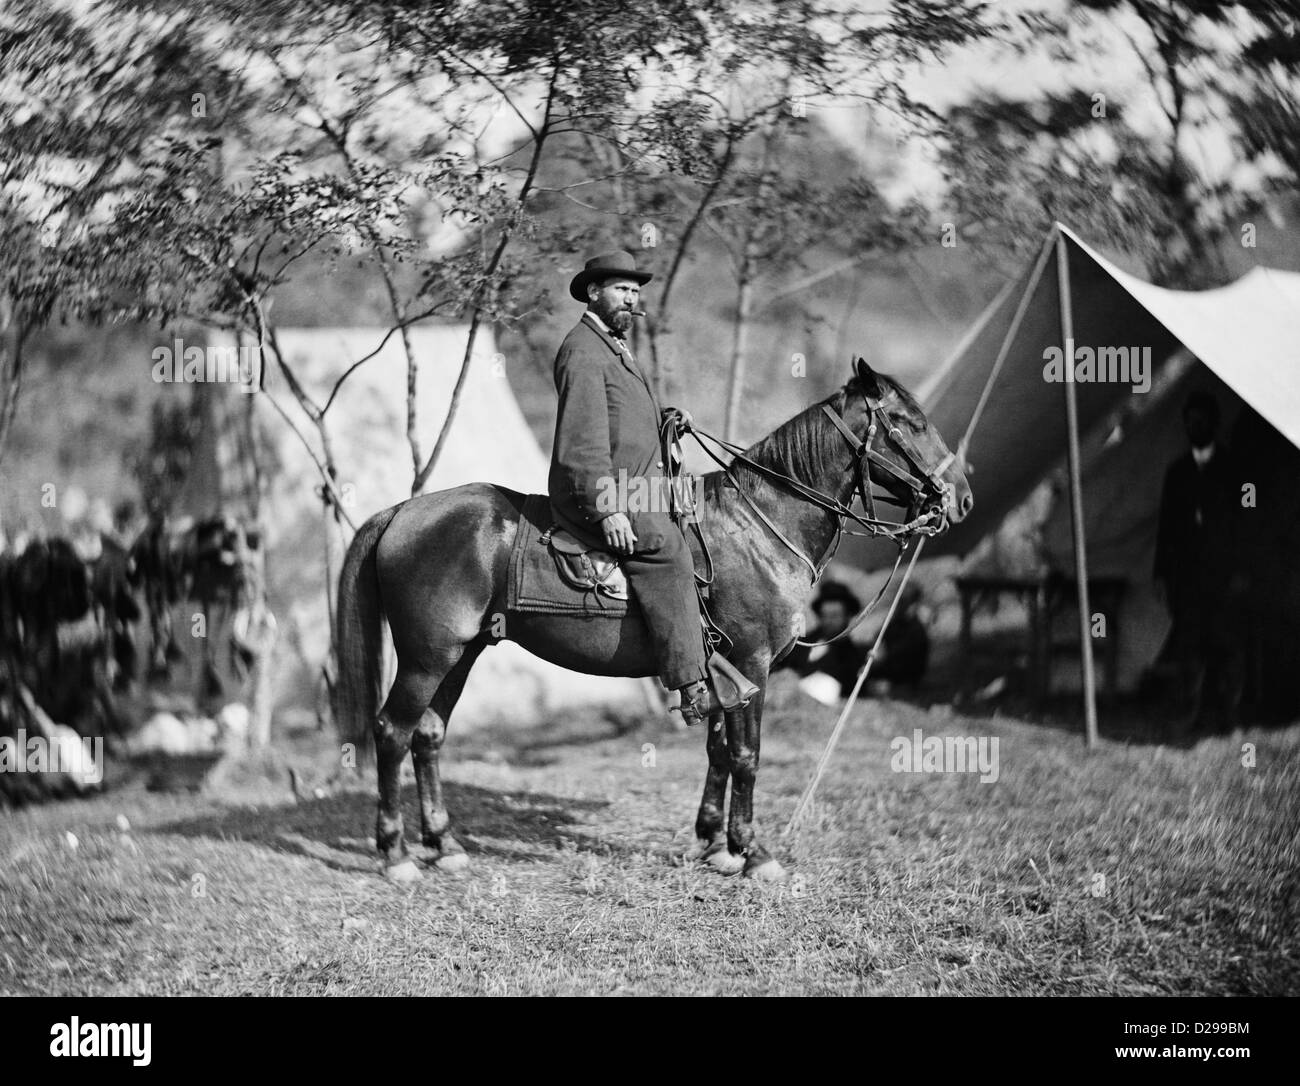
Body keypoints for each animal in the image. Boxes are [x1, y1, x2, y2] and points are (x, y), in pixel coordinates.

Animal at [332, 358, 967, 884]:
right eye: (907, 423)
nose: (960, 498)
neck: (759, 525)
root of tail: (403, 511)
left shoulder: (724, 672)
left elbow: (718, 749)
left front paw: (715, 844)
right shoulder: (752, 664)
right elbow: (747, 756)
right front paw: (753, 853)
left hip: (460, 655)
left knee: (428, 736)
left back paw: (445, 844)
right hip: (427, 657)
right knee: (391, 733)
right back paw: (396, 854)